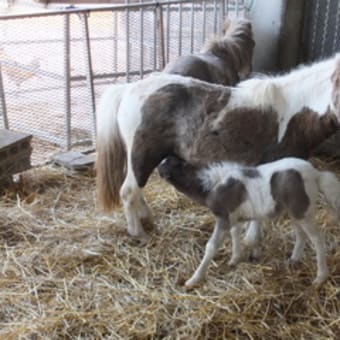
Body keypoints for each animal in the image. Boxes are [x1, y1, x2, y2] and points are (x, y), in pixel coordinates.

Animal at [96, 53, 340, 239]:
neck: (293, 113)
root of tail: (129, 89)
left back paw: (146, 219)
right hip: (142, 155)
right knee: (129, 191)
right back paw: (138, 233)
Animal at [159, 156, 340, 286]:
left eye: (164, 168)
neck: (212, 186)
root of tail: (316, 174)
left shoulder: (223, 217)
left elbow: (212, 246)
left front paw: (193, 280)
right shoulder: (235, 217)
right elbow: (236, 234)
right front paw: (235, 259)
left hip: (303, 211)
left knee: (317, 239)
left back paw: (320, 277)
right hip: (295, 212)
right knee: (301, 234)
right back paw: (294, 259)